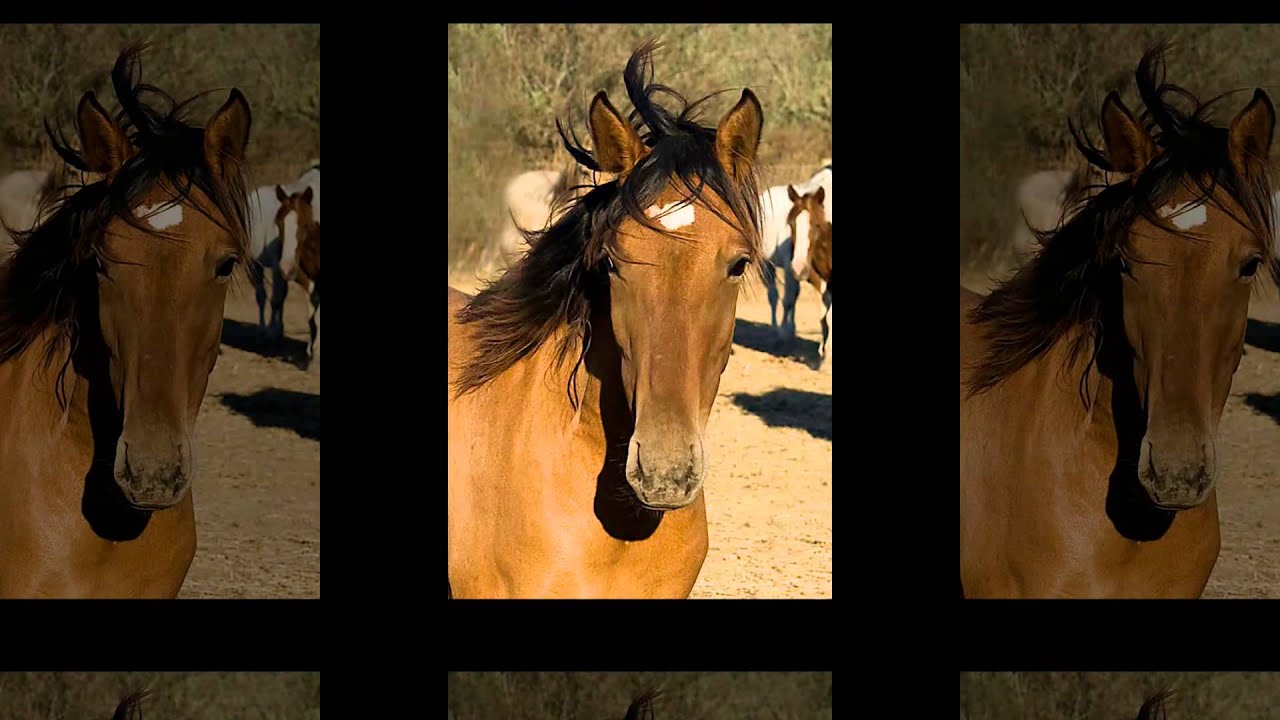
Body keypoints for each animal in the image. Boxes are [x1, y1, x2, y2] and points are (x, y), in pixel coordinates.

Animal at [246, 162, 320, 339]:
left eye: (306, 226)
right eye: (278, 223)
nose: (288, 266)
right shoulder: (278, 265)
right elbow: (277, 298)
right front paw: (273, 331)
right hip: (254, 264)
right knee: (262, 296)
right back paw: (264, 329)